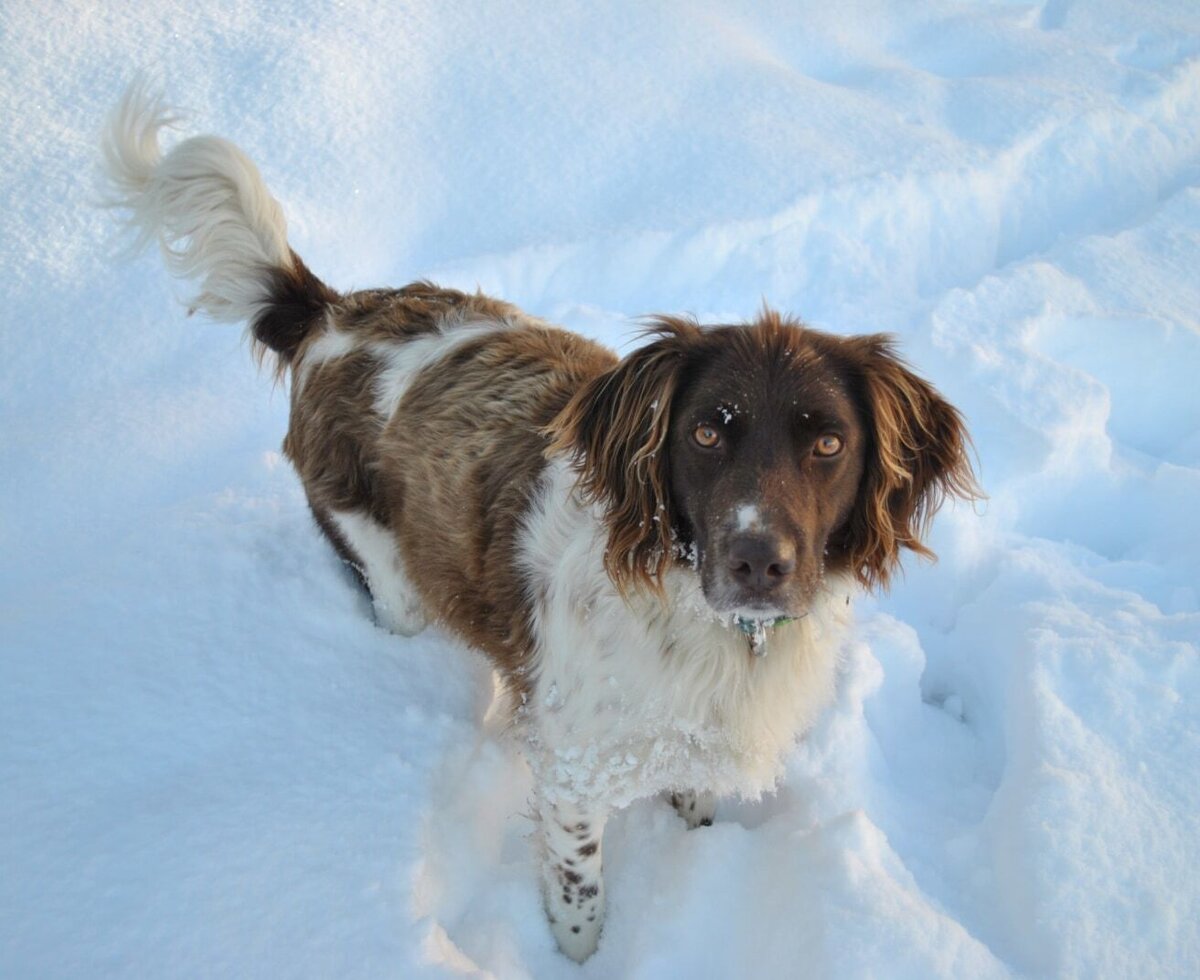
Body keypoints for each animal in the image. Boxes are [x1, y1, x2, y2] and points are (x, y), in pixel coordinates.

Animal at [102, 81, 979, 962]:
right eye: (704, 432)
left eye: (829, 442)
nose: (758, 563)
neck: (699, 619)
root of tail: (331, 314)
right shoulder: (572, 773)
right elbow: (580, 895)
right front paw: (583, 959)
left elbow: (693, 796)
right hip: (385, 565)